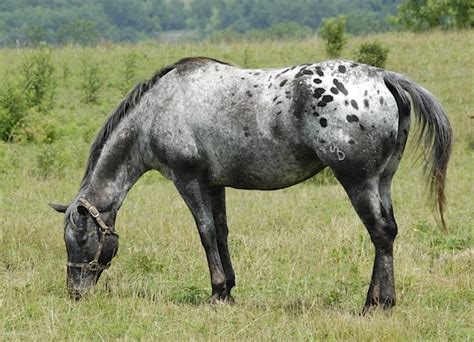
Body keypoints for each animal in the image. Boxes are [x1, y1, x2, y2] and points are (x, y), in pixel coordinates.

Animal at [49, 57, 452, 314]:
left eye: (79, 239)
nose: (75, 293)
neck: (157, 111)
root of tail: (383, 77)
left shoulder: (188, 179)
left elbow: (205, 232)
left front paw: (215, 293)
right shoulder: (214, 184)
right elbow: (222, 232)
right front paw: (228, 290)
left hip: (358, 181)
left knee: (380, 233)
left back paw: (376, 304)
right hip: (381, 181)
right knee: (388, 232)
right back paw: (378, 299)